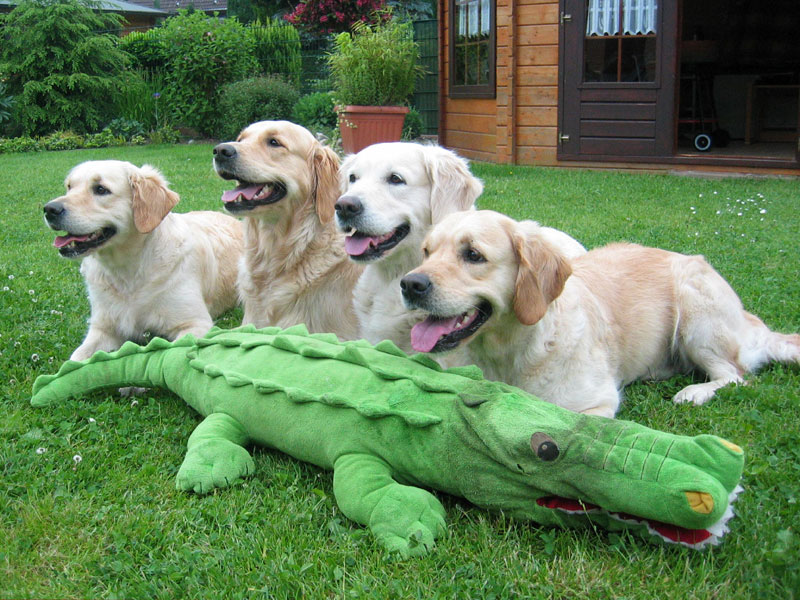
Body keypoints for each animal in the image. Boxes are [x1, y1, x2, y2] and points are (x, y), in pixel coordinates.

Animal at [43, 160, 243, 362]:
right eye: (69, 187)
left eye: (100, 189)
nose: (50, 209)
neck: (127, 272)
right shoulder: (103, 328)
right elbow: (76, 359)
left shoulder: (195, 323)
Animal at [400, 209, 800, 418]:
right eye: (426, 252)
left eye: (473, 255)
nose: (409, 284)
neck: (507, 353)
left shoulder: (595, 404)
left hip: (696, 309)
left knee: (736, 375)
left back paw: (694, 393)